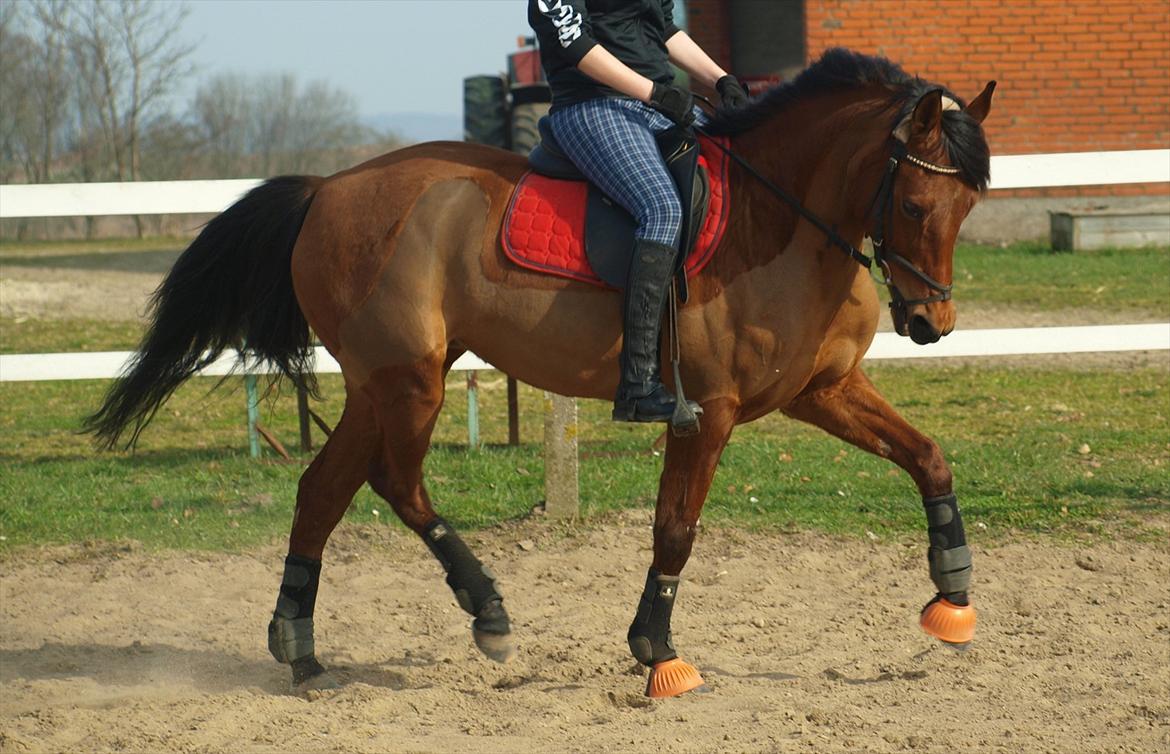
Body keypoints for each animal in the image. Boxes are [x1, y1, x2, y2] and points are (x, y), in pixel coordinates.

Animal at [84, 50, 996, 697]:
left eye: (968, 207)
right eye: (916, 205)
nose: (931, 324)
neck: (783, 221)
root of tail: (330, 187)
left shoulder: (821, 391)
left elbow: (929, 457)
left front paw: (952, 591)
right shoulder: (708, 410)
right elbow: (677, 528)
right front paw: (657, 652)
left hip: (380, 383)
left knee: (323, 489)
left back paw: (301, 650)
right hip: (410, 381)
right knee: (395, 483)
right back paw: (486, 611)